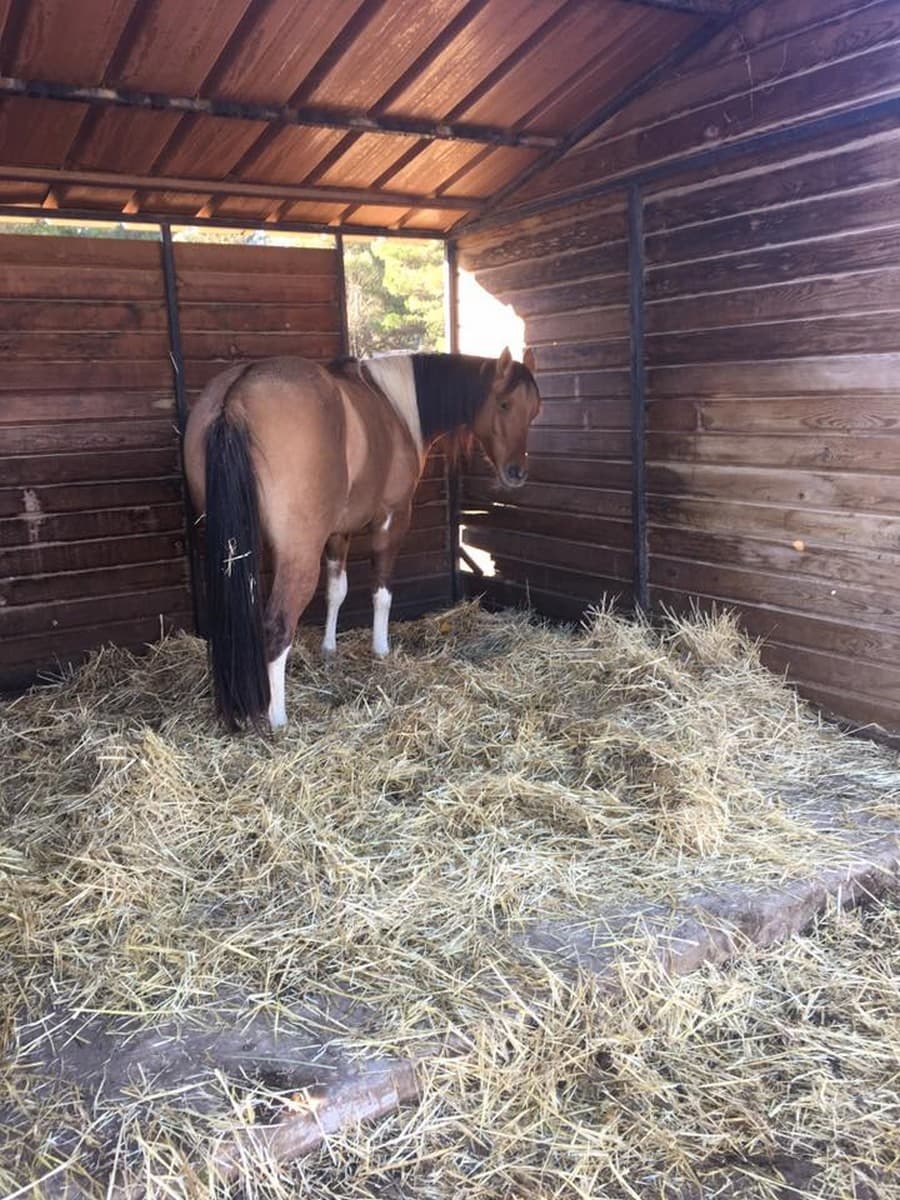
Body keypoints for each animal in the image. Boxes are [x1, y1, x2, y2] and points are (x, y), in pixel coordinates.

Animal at [184, 348, 542, 731]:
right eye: (504, 404)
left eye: (534, 411)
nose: (517, 474)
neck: (396, 408)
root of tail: (236, 396)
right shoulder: (391, 519)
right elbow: (381, 593)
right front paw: (381, 649)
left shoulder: (338, 532)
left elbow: (336, 592)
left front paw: (329, 649)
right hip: (297, 555)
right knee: (277, 628)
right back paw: (277, 720)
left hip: (237, 554)